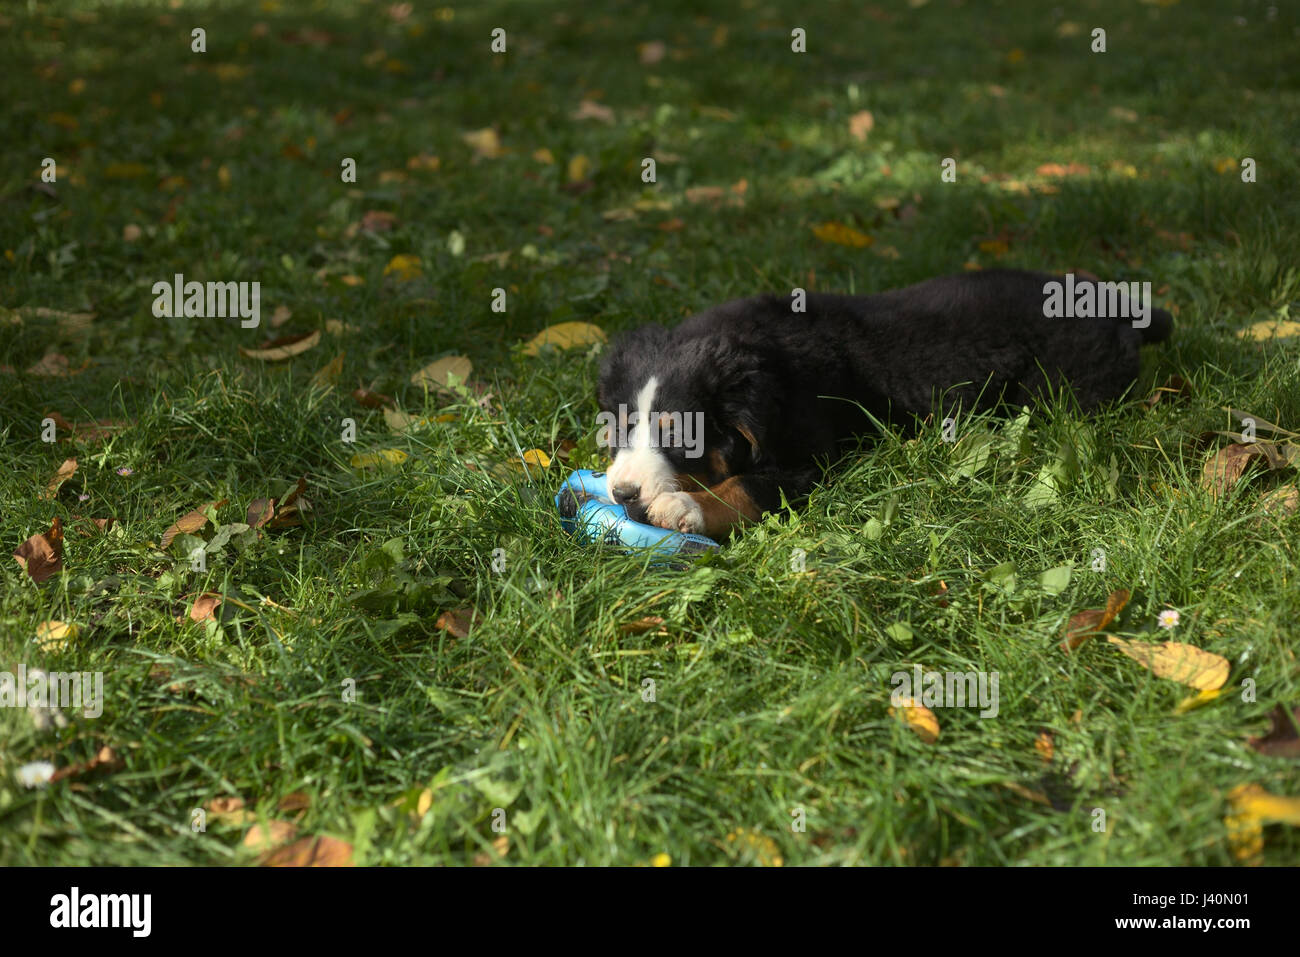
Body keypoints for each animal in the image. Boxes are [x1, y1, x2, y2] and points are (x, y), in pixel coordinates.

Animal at [598, 269, 1180, 538]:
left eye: (682, 435)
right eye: (619, 427)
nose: (623, 492)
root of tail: (1117, 308)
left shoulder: (811, 459)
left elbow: (745, 487)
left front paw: (684, 507)